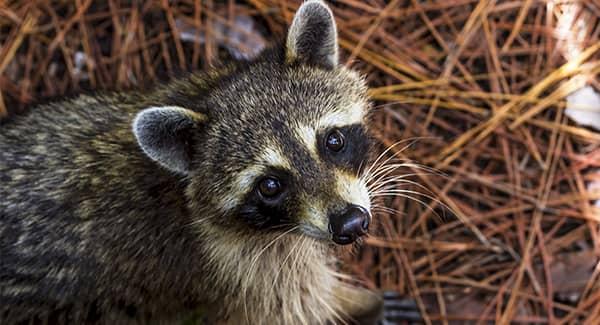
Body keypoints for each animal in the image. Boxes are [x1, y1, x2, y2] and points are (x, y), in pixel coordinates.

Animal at [2, 0, 390, 322]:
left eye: (333, 141)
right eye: (269, 185)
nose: (351, 223)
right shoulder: (237, 274)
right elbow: (300, 306)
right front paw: (362, 304)